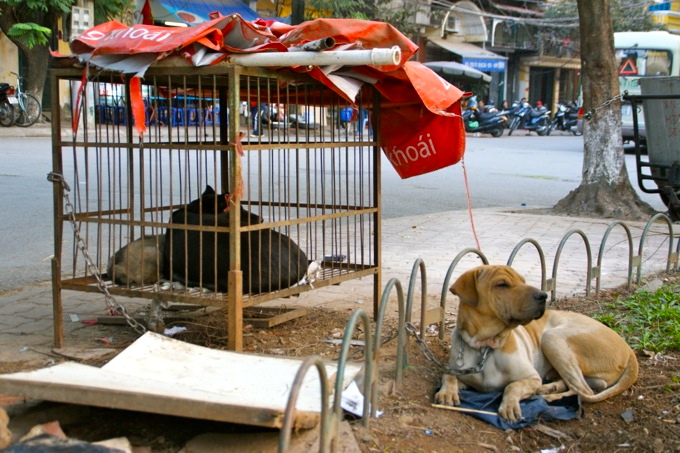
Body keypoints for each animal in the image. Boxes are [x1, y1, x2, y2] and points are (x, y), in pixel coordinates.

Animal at [436, 264, 636, 422]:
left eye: (523, 280)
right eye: (502, 284)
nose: (543, 296)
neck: (484, 346)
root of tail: (629, 349)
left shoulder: (531, 378)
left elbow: (512, 386)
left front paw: (510, 405)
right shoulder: (459, 371)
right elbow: (448, 375)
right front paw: (447, 392)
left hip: (552, 338)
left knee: (585, 391)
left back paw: (551, 397)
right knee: (583, 386)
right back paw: (550, 388)